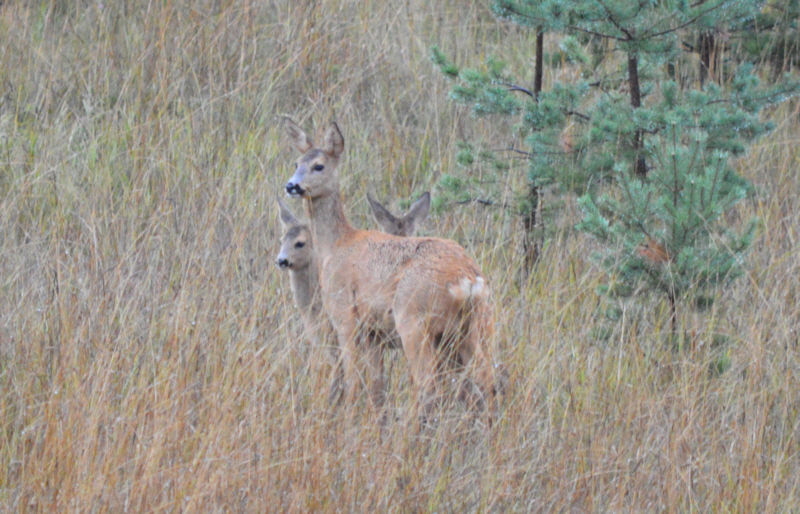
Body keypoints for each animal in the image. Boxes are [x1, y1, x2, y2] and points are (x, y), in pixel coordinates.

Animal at [280, 118, 494, 418]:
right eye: (296, 162)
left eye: (319, 165)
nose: (292, 186)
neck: (336, 244)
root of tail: (467, 280)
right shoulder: (373, 333)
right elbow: (377, 385)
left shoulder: (344, 315)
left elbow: (352, 380)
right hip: (478, 325)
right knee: (486, 379)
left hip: (414, 322)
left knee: (429, 385)